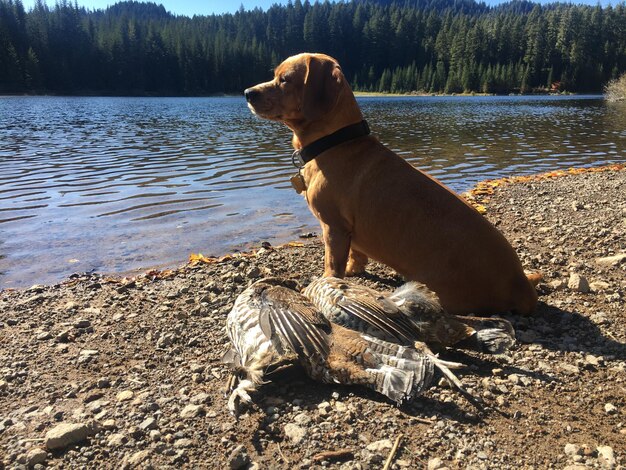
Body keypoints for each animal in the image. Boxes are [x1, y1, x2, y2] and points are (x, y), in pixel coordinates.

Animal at [244, 52, 536, 316]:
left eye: (284, 79)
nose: (247, 92)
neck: (335, 143)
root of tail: (520, 284)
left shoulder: (333, 227)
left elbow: (331, 265)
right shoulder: (349, 232)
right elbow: (355, 255)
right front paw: (353, 270)